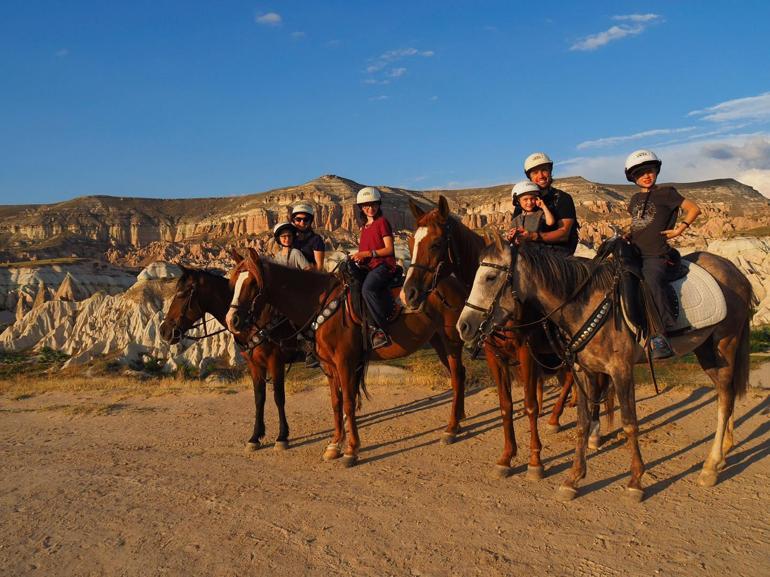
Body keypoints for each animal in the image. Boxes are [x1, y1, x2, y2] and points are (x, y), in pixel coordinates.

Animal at [158, 266, 296, 450]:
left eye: (183, 293)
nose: (164, 331)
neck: (255, 319)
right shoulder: (254, 365)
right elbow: (259, 398)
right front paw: (255, 437)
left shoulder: (275, 361)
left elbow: (279, 398)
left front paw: (282, 436)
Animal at [225, 245, 468, 466]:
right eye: (233, 283)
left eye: (252, 283)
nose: (232, 320)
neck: (320, 303)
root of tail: (454, 282)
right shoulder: (329, 366)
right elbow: (336, 402)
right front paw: (334, 445)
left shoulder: (343, 363)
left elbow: (348, 403)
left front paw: (351, 450)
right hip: (438, 341)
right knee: (460, 375)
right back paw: (459, 421)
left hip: (451, 341)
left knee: (457, 376)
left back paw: (451, 429)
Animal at [456, 236, 752, 502]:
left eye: (490, 277)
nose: (464, 325)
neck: (587, 303)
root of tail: (735, 272)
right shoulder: (584, 371)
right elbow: (583, 423)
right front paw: (573, 479)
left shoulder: (621, 371)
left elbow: (630, 424)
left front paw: (635, 482)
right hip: (706, 351)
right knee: (724, 397)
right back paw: (724, 453)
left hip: (724, 347)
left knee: (725, 399)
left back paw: (711, 466)